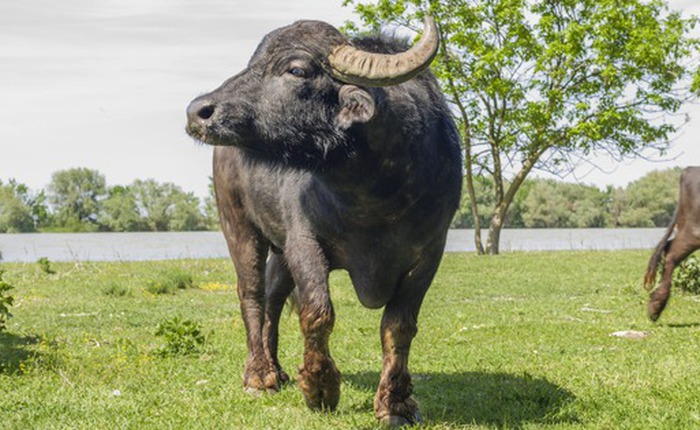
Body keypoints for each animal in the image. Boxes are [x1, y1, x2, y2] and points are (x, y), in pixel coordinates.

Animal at [183, 15, 462, 424]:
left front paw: (396, 403)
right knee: (251, 293)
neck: (374, 192)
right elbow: (317, 312)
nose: (199, 111)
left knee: (274, 297)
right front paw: (320, 388)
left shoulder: (429, 253)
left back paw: (277, 369)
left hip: (279, 251)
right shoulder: (304, 241)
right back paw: (258, 376)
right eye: (253, 61)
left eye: (296, 70)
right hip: (237, 224)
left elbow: (398, 326)